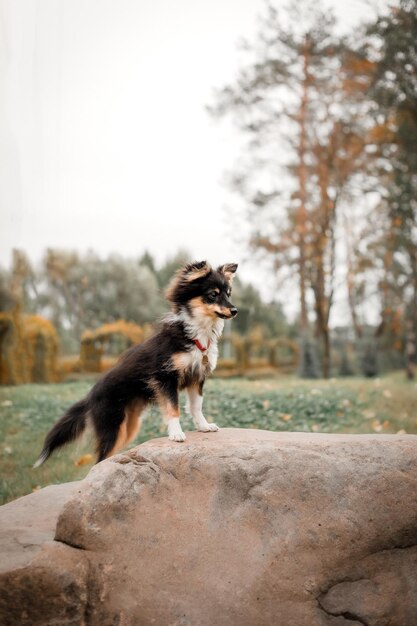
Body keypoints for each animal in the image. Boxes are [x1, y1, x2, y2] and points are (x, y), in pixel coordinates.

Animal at [34, 258, 237, 464]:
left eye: (228, 293)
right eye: (213, 294)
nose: (235, 310)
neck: (196, 334)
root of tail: (90, 397)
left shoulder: (197, 377)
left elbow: (196, 406)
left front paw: (204, 426)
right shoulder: (165, 377)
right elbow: (173, 408)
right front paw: (176, 434)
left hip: (128, 427)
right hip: (112, 426)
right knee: (100, 459)